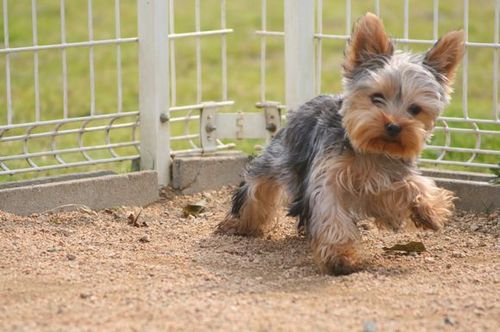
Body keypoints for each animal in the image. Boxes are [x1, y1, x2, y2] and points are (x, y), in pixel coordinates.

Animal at [217, 12, 462, 274]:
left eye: (415, 109)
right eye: (377, 98)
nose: (394, 126)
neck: (370, 151)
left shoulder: (384, 181)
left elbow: (413, 185)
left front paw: (429, 210)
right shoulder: (328, 177)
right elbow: (331, 213)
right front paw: (341, 258)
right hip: (279, 157)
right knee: (256, 189)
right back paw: (239, 224)